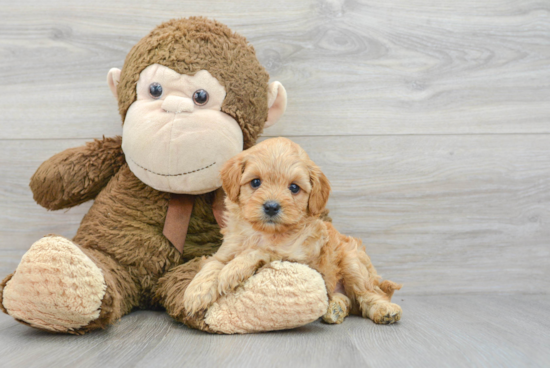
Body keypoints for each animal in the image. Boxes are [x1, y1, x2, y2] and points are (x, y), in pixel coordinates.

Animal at [183, 137, 404, 324]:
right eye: (255, 182)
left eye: (294, 188)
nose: (271, 207)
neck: (265, 232)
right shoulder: (226, 249)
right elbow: (212, 265)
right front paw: (196, 292)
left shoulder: (299, 257)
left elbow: (261, 250)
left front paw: (233, 270)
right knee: (345, 298)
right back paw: (335, 308)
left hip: (353, 263)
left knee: (369, 293)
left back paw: (385, 310)